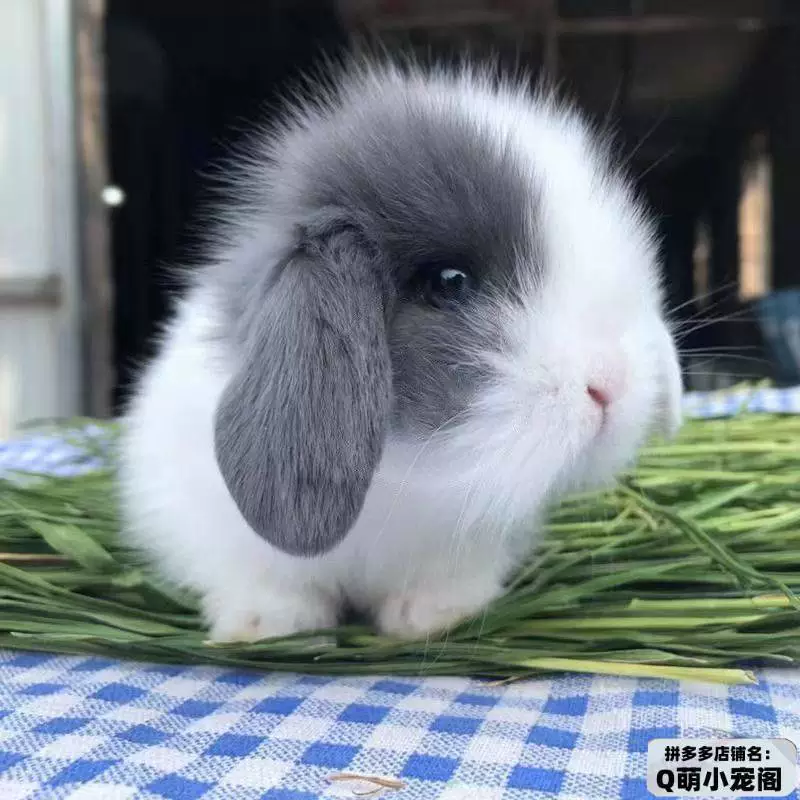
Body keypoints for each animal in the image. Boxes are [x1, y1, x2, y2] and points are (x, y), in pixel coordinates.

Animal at [118, 59, 684, 643]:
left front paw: (432, 618)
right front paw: (264, 625)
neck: (401, 477)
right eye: (449, 282)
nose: (611, 384)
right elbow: (266, 582)